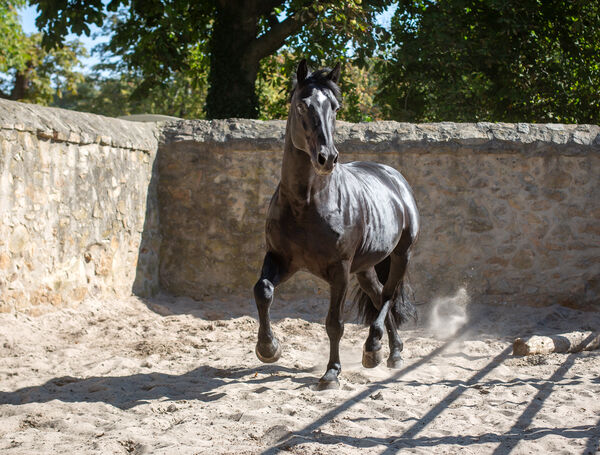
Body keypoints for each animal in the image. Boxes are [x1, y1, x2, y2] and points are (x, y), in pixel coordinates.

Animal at [252, 58, 418, 390]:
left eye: (336, 108)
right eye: (302, 106)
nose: (326, 158)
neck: (305, 204)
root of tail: (394, 178)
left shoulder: (339, 270)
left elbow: (334, 323)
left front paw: (331, 373)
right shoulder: (281, 259)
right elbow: (262, 290)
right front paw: (268, 349)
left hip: (401, 255)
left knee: (388, 297)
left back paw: (374, 349)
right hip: (365, 268)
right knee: (380, 297)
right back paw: (391, 353)